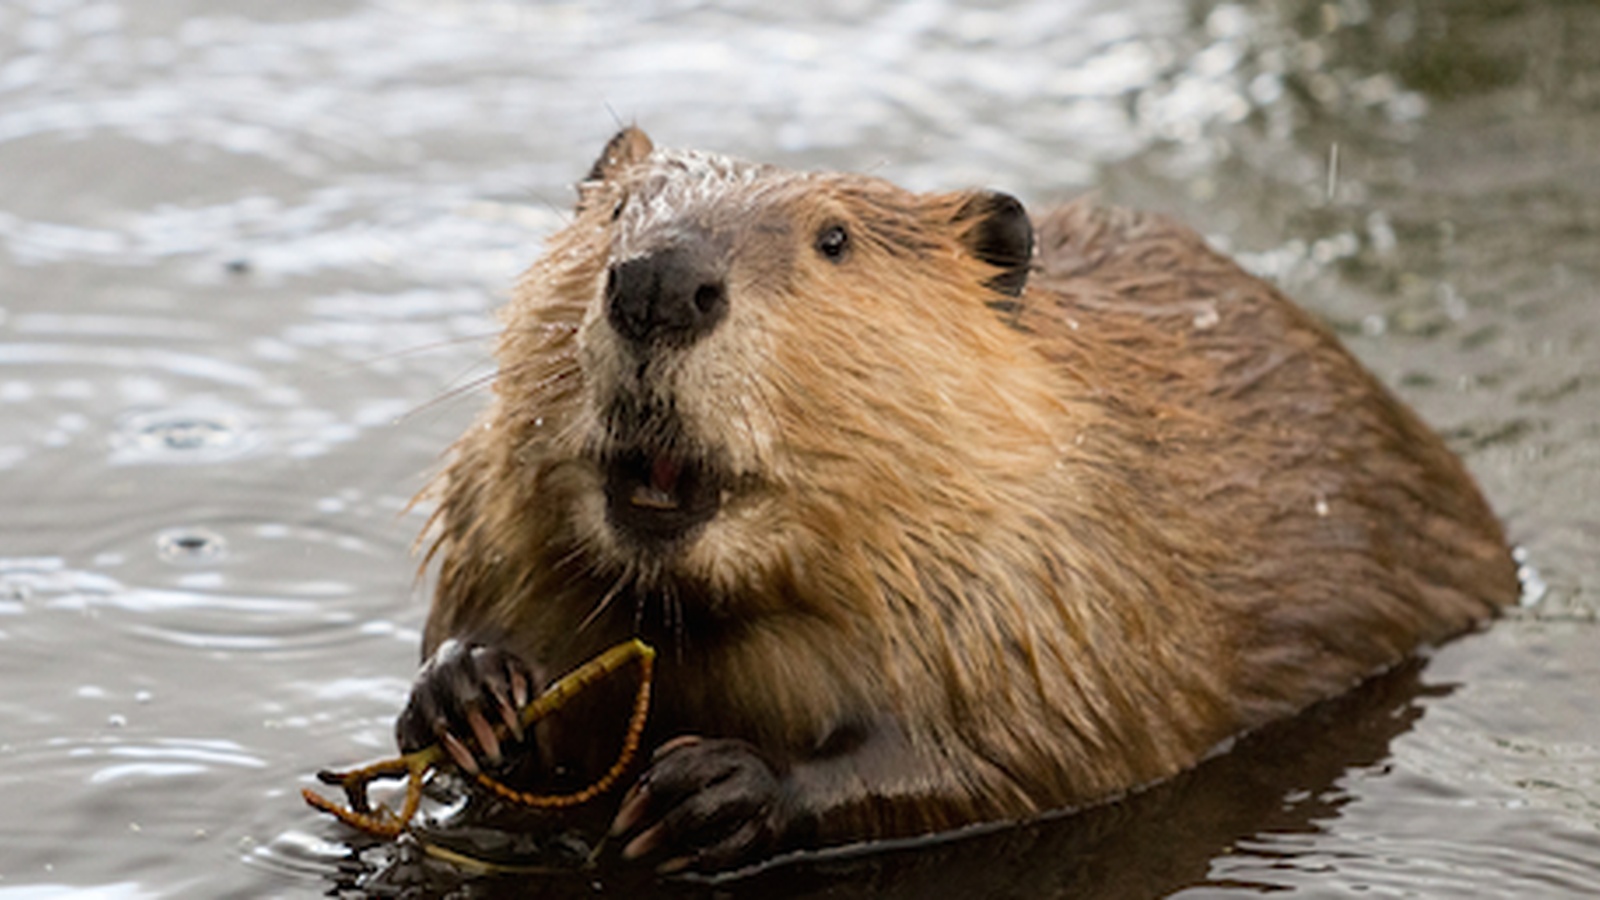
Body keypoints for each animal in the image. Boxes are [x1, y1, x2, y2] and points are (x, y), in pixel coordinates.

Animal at [393, 126, 1516, 871]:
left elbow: (1034, 754)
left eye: (834, 240)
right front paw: (471, 693)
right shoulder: (489, 521)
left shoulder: (1058, 579)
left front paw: (711, 789)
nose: (662, 283)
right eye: (623, 211)